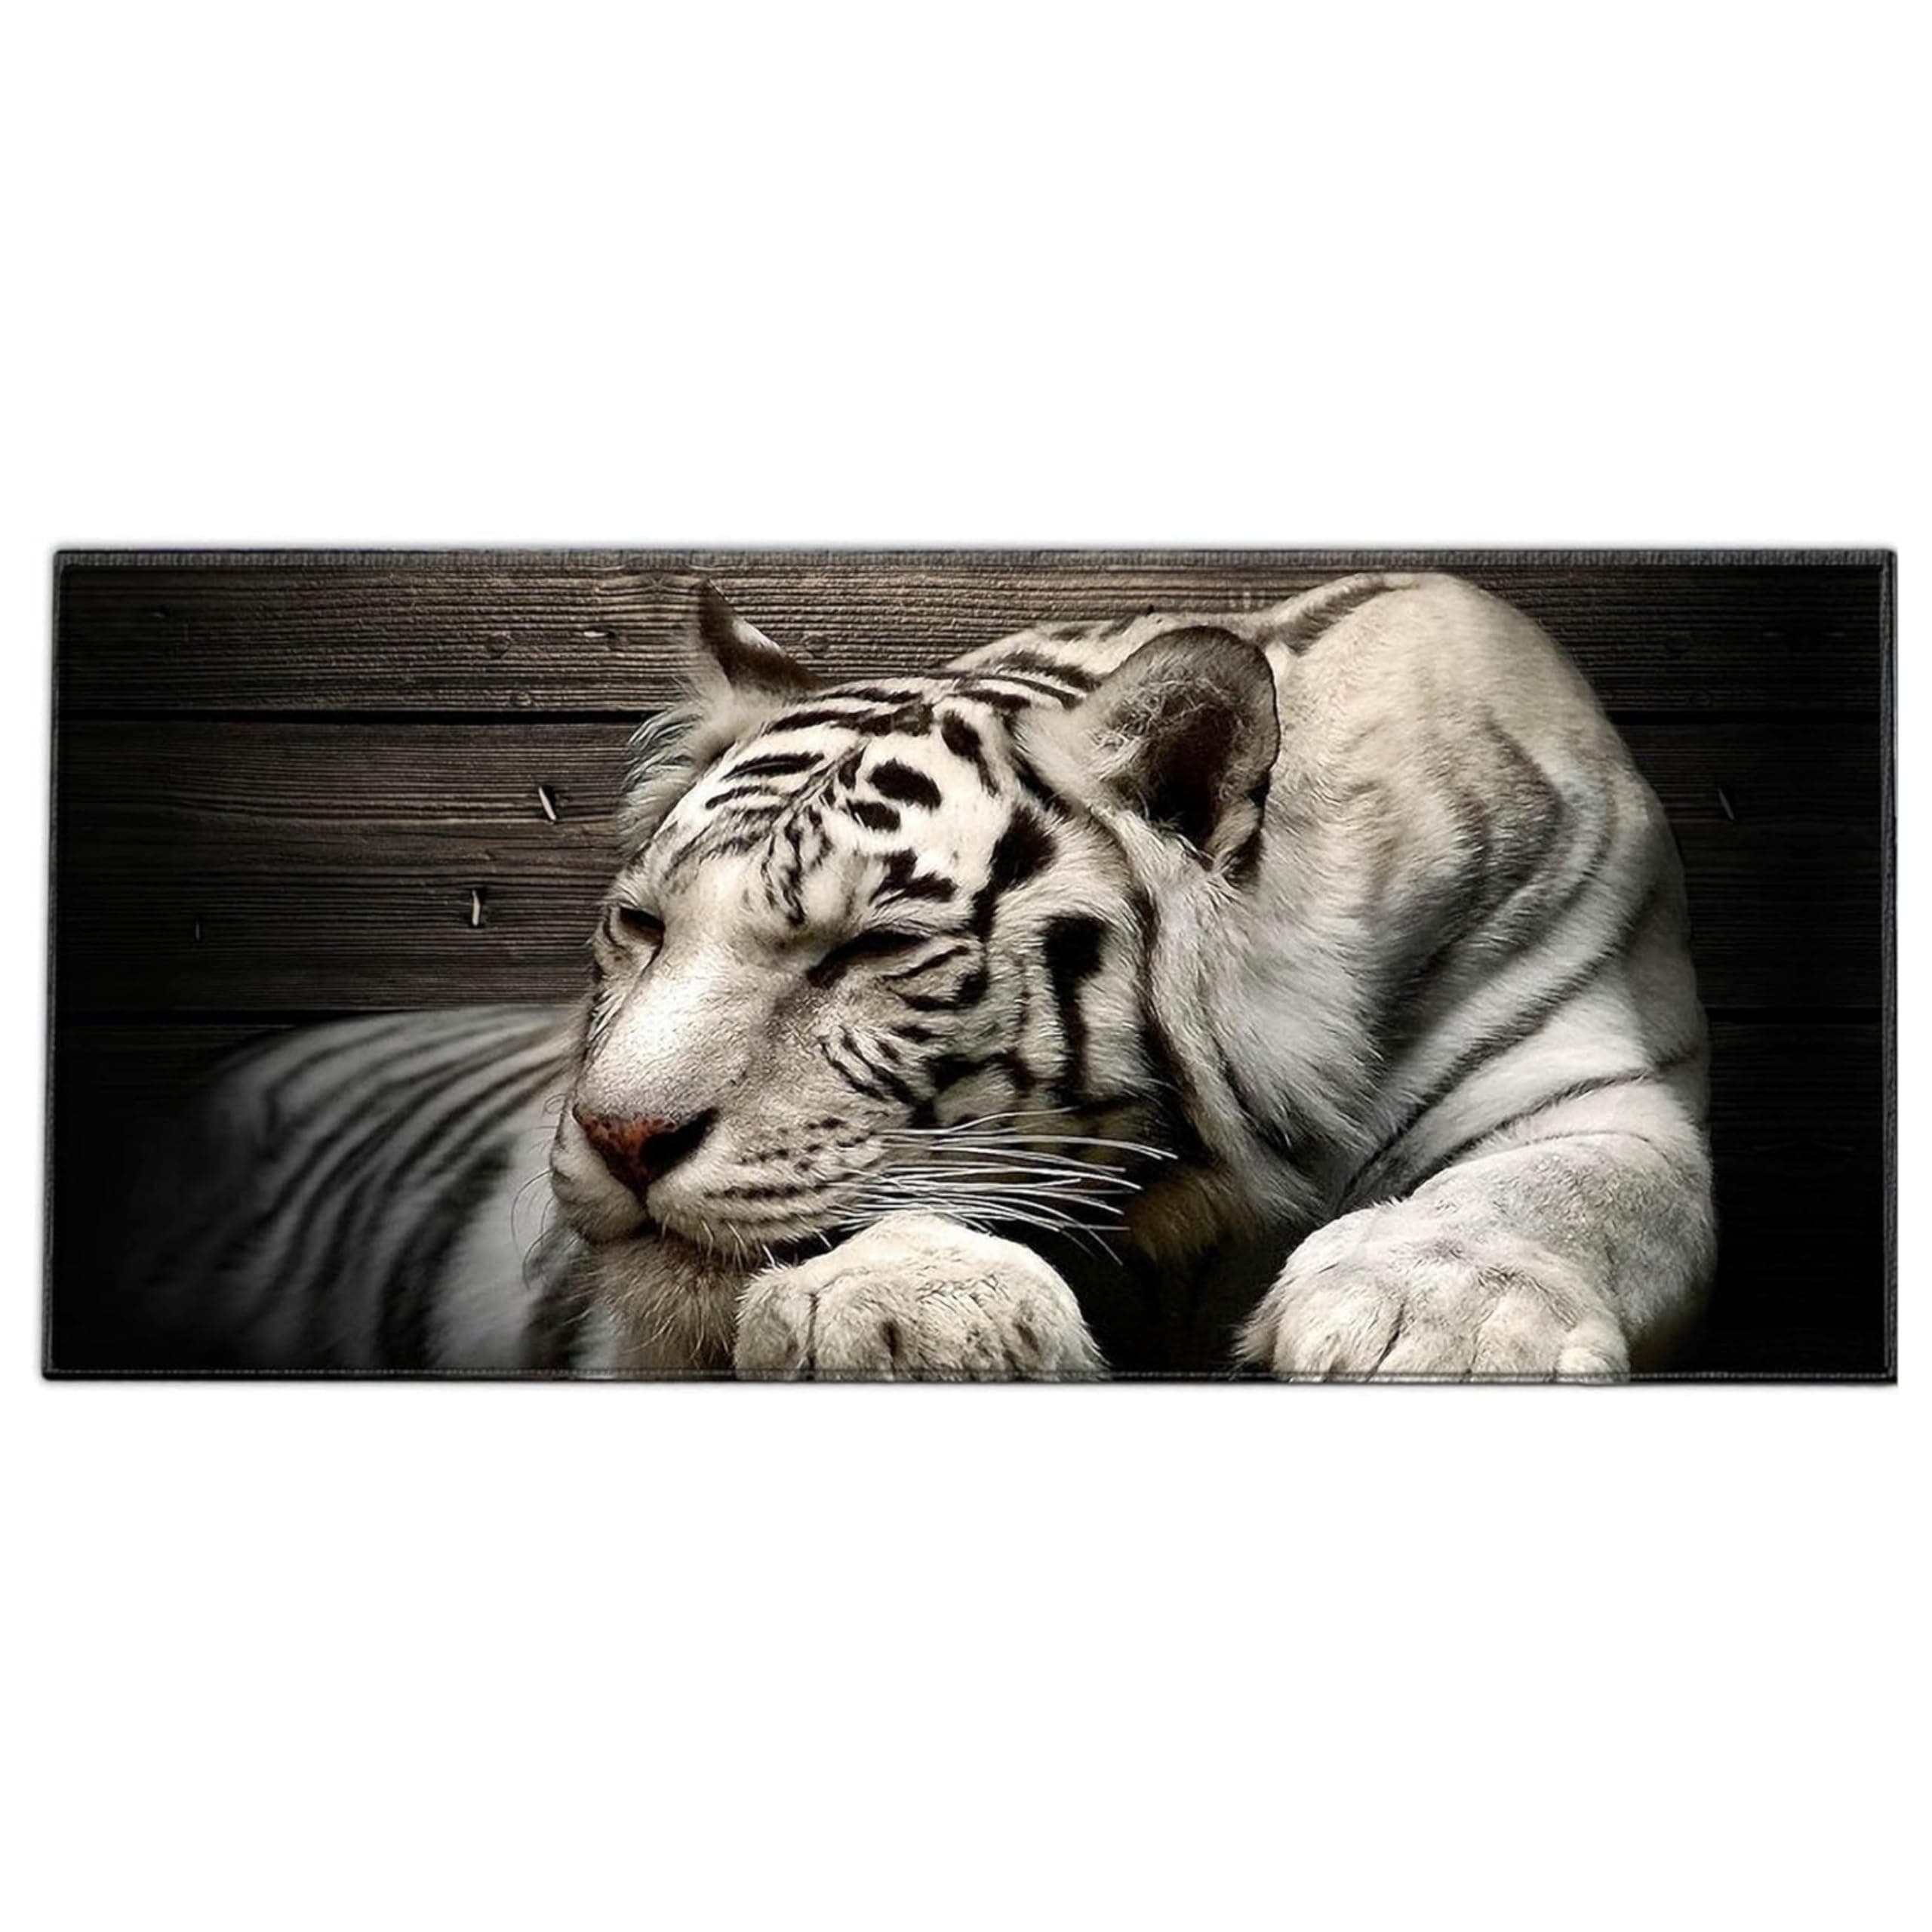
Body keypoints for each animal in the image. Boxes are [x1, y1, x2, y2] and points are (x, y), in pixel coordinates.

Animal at [121, 570, 1715, 1378]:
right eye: (644, 929)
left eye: (873, 949)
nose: (617, 1138)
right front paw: (906, 1310)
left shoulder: (1593, 1081)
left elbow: (1560, 1191)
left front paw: (1433, 1317)